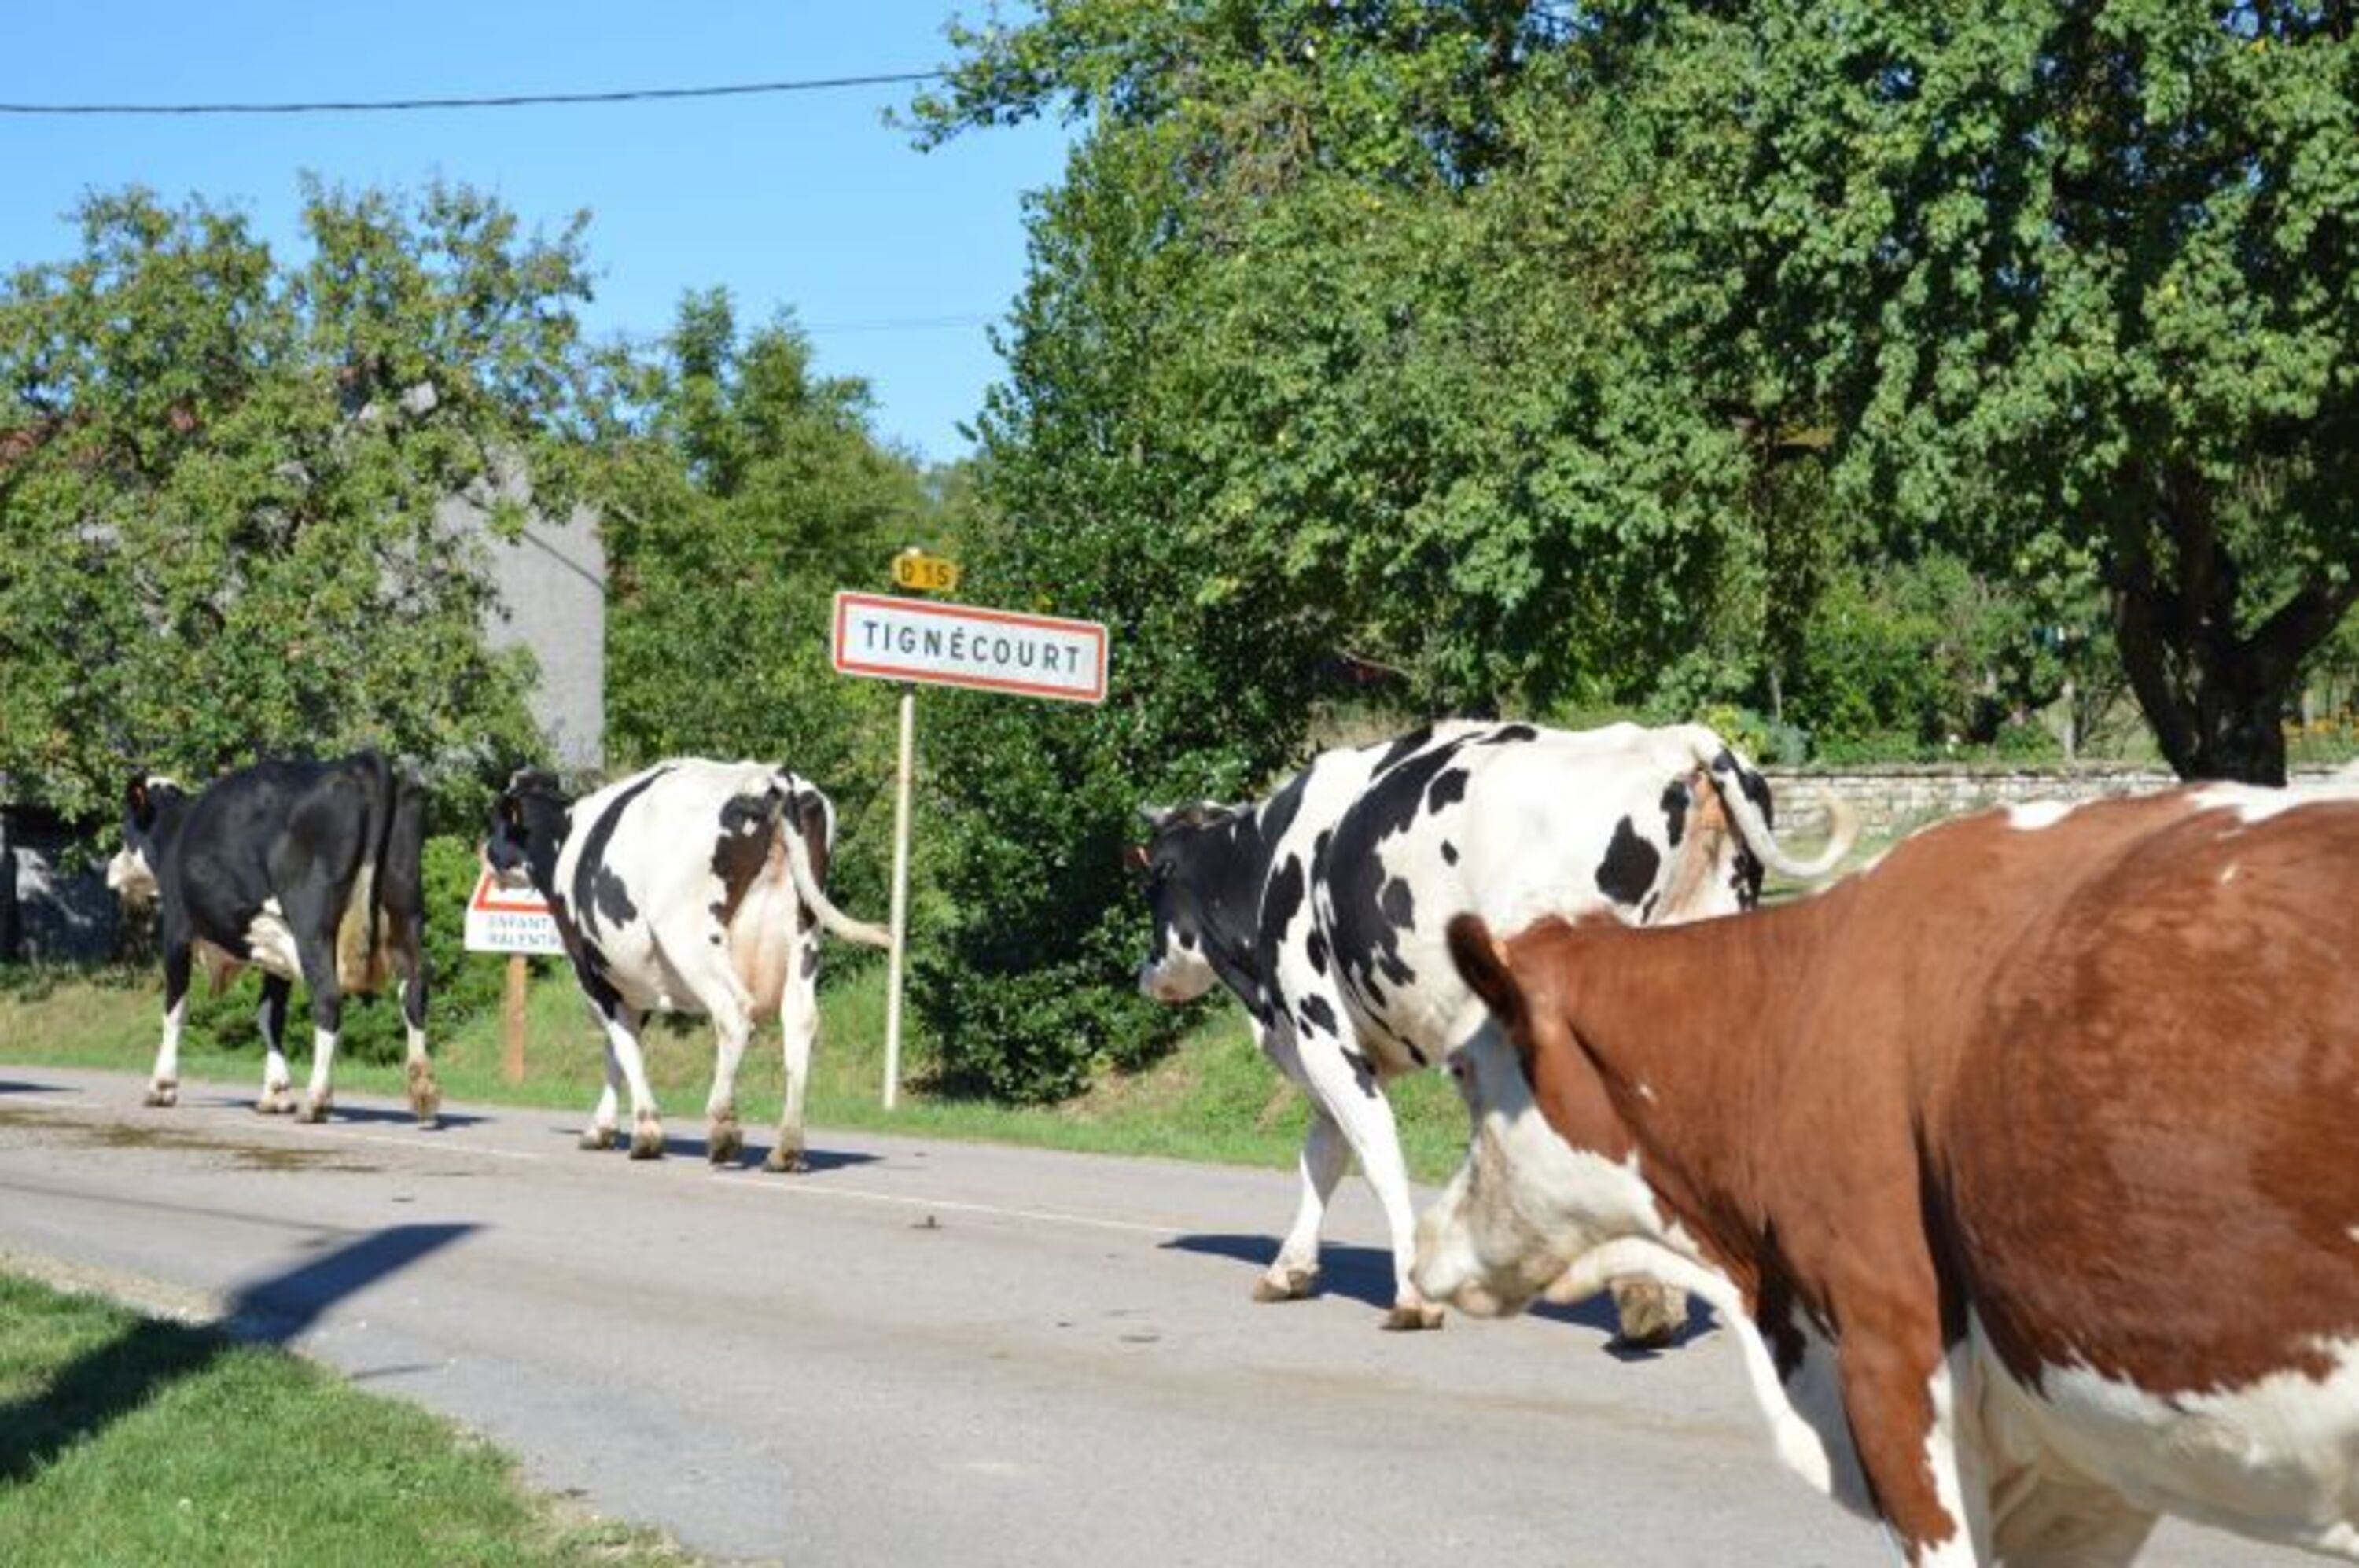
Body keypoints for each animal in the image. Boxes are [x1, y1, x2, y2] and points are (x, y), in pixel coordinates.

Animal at [106, 751, 438, 1124]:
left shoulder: (178, 930)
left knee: (328, 998)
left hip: (312, 928)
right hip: (405, 913)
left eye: (125, 831)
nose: (111, 869)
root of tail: (361, 762)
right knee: (414, 989)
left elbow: (175, 1009)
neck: (176, 831)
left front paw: (161, 1086)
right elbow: (269, 1015)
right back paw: (423, 1091)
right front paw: (275, 1093)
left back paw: (316, 1100)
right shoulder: (274, 950)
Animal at [484, 758, 891, 1169]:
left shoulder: (592, 971)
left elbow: (623, 1044)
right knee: (800, 1020)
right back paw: (786, 1148)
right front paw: (602, 1129)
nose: (486, 852)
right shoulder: (635, 981)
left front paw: (645, 1131)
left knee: (733, 1012)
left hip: (690, 937)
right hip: (803, 937)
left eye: (499, 819)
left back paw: (723, 1129)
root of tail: (771, 777)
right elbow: (619, 1047)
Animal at [1131, 719, 1855, 1334]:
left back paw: (1643, 1301)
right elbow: (1323, 1155)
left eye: (1152, 887)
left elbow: (1375, 1152)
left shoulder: (1319, 1029)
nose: (1144, 973)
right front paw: (1290, 1268)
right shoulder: (1341, 1046)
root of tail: (1676, 740)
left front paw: (1412, 1294)